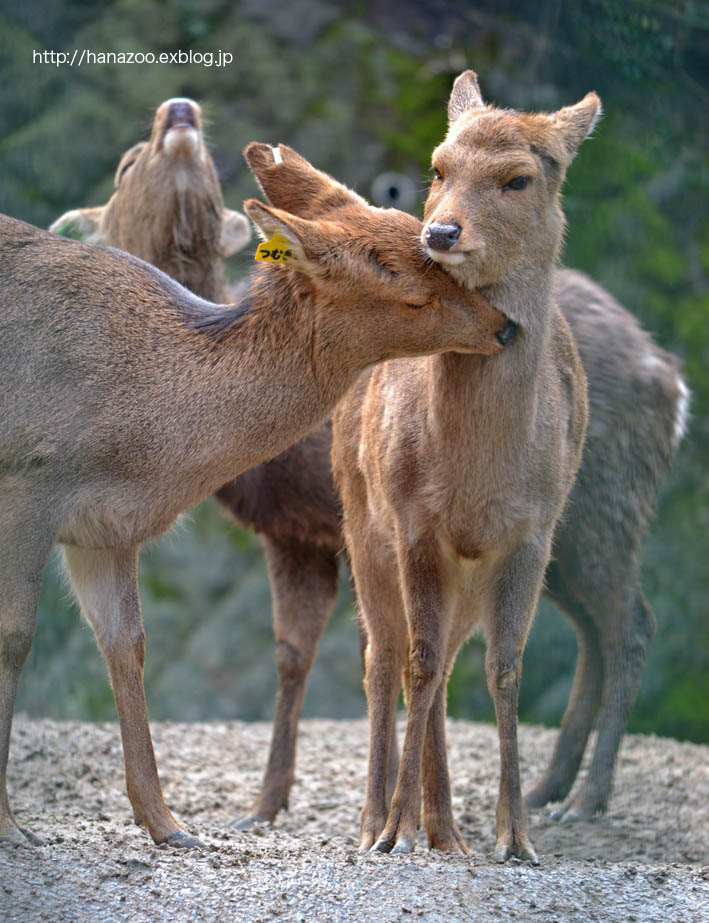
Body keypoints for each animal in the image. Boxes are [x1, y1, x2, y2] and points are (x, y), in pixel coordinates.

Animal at [0, 146, 508, 852]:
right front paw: (9, 823)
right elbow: (16, 635)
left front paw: (169, 825)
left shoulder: (106, 529)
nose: (504, 325)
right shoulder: (30, 478)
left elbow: (127, 645)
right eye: (413, 294)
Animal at [330, 83, 596, 864]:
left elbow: (504, 668)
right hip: (363, 530)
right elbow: (414, 664)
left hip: (465, 576)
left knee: (444, 665)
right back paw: (380, 821)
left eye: (519, 179)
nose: (441, 234)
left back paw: (445, 829)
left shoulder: (532, 534)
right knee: (385, 658)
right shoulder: (415, 522)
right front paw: (390, 832)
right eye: (438, 165)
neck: (478, 477)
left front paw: (517, 836)